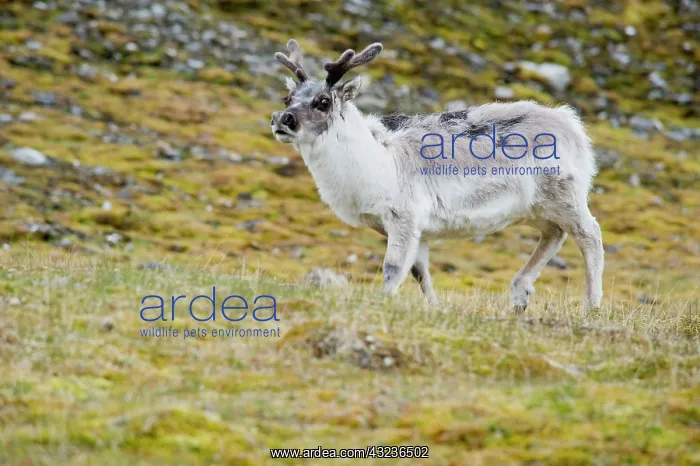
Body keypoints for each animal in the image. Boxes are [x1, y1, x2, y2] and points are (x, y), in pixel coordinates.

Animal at [270, 39, 604, 312]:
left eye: (323, 101)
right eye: (287, 98)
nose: (281, 119)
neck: (374, 164)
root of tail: (571, 123)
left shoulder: (404, 216)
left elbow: (393, 268)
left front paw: (383, 301)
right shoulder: (415, 228)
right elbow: (419, 272)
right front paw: (435, 307)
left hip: (565, 195)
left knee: (590, 235)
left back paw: (591, 306)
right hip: (537, 208)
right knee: (554, 234)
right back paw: (520, 294)